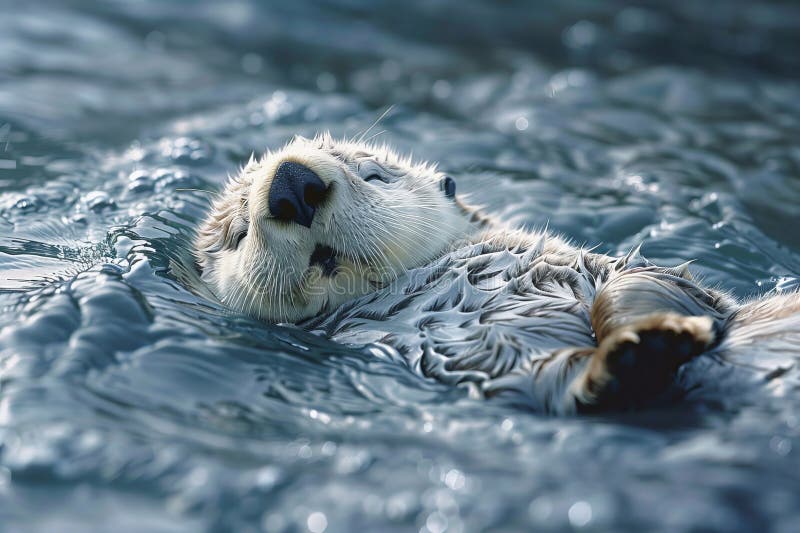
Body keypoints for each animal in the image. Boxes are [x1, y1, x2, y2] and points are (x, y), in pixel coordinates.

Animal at [194, 134, 800, 416]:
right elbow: (568, 386)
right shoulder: (500, 372)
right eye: (239, 233)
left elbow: (648, 285)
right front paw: (640, 350)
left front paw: (653, 329)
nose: (292, 185)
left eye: (374, 175)